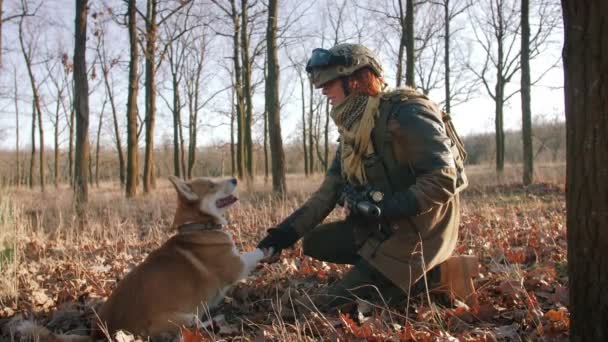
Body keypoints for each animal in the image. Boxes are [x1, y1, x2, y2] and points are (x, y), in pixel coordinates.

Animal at [20, 178, 266, 340]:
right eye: (212, 185)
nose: (234, 178)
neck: (198, 226)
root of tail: (100, 335)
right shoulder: (238, 265)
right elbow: (257, 251)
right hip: (183, 317)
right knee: (195, 326)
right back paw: (216, 320)